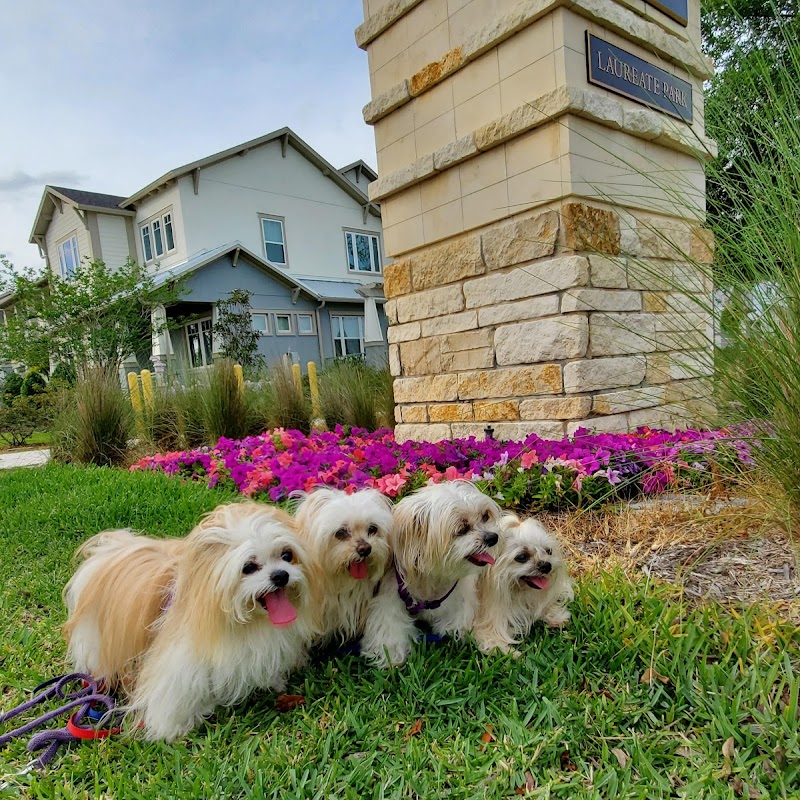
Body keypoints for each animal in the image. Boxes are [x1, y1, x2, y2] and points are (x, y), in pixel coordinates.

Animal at [64, 504, 314, 740]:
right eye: (249, 567)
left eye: (287, 555)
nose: (280, 575)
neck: (244, 624)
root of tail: (108, 551)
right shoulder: (178, 664)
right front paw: (172, 730)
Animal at [360, 482, 500, 668]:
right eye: (462, 529)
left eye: (485, 516)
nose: (492, 537)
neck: (432, 579)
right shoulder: (388, 599)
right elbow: (390, 627)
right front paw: (392, 655)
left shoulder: (460, 596)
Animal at [472, 512, 572, 656]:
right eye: (522, 557)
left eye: (549, 551)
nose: (546, 565)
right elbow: (492, 637)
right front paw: (510, 652)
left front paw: (555, 616)